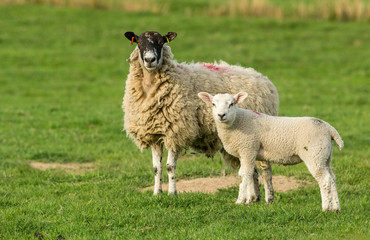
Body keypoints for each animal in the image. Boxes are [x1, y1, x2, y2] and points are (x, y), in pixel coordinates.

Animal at [123, 31, 278, 202]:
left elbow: (170, 167)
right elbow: (157, 168)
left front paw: (172, 193)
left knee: (265, 169)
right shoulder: (154, 135)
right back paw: (253, 198)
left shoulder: (177, 131)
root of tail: (263, 79)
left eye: (161, 42)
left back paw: (268, 199)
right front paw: (157, 193)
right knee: (252, 170)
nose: (149, 59)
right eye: (139, 43)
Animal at [199, 92, 344, 212]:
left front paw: (240, 201)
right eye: (213, 104)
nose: (221, 115)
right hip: (325, 155)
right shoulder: (246, 152)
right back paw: (336, 208)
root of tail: (329, 128)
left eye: (231, 104)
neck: (237, 121)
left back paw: (326, 208)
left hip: (314, 154)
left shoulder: (248, 148)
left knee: (325, 180)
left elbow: (245, 174)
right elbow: (249, 174)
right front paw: (249, 200)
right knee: (332, 178)